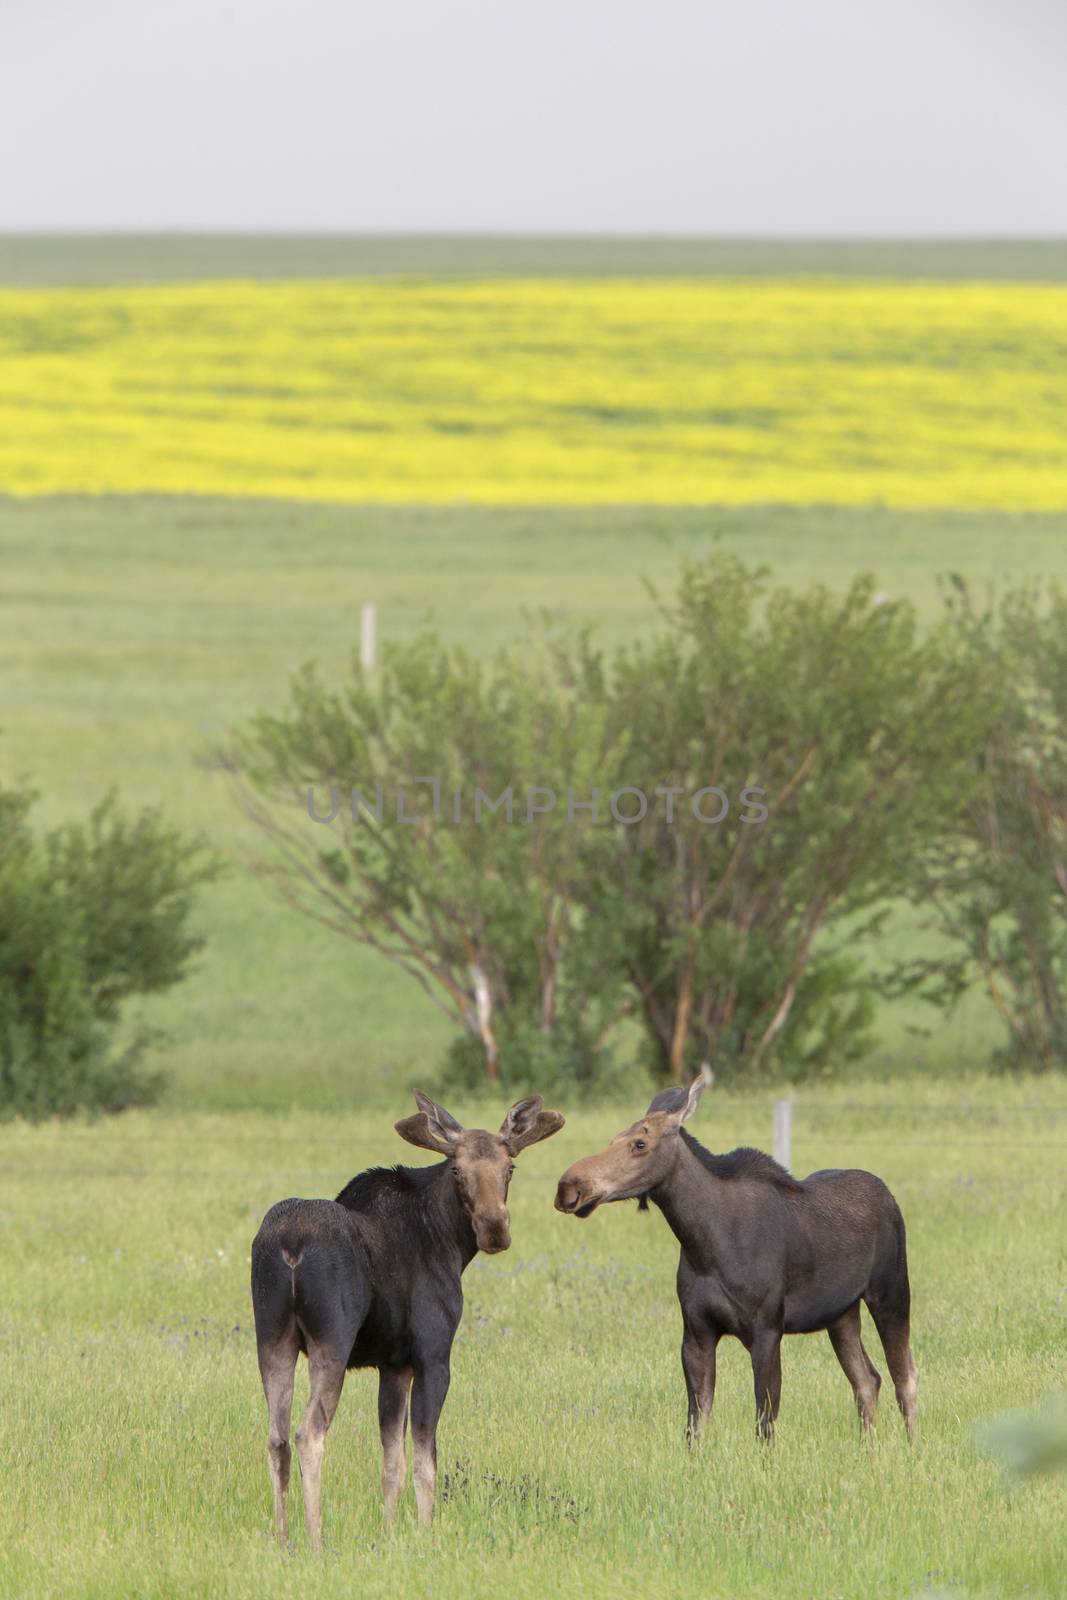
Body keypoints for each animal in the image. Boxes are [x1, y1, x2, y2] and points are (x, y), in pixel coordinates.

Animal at [251, 1094, 566, 1542]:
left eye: (510, 1167)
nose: (494, 1228)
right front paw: (425, 1532)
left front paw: (387, 1533)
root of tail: (290, 1244)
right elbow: (424, 1462)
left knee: (276, 1438)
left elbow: (392, 1463)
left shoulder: (393, 1364)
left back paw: (283, 1539)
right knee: (308, 1433)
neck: (450, 1242)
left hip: (272, 1337)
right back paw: (315, 1539)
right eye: (457, 1169)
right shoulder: (433, 1356)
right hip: (331, 1341)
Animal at [550, 1068, 921, 1446]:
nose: (569, 1187)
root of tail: (889, 1196)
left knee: (904, 1375)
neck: (704, 1245)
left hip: (890, 1292)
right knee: (867, 1379)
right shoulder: (696, 1333)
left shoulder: (767, 1330)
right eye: (614, 1138)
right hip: (842, 1314)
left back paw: (913, 1449)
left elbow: (765, 1423)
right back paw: (868, 1451)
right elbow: (695, 1424)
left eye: (640, 1143)